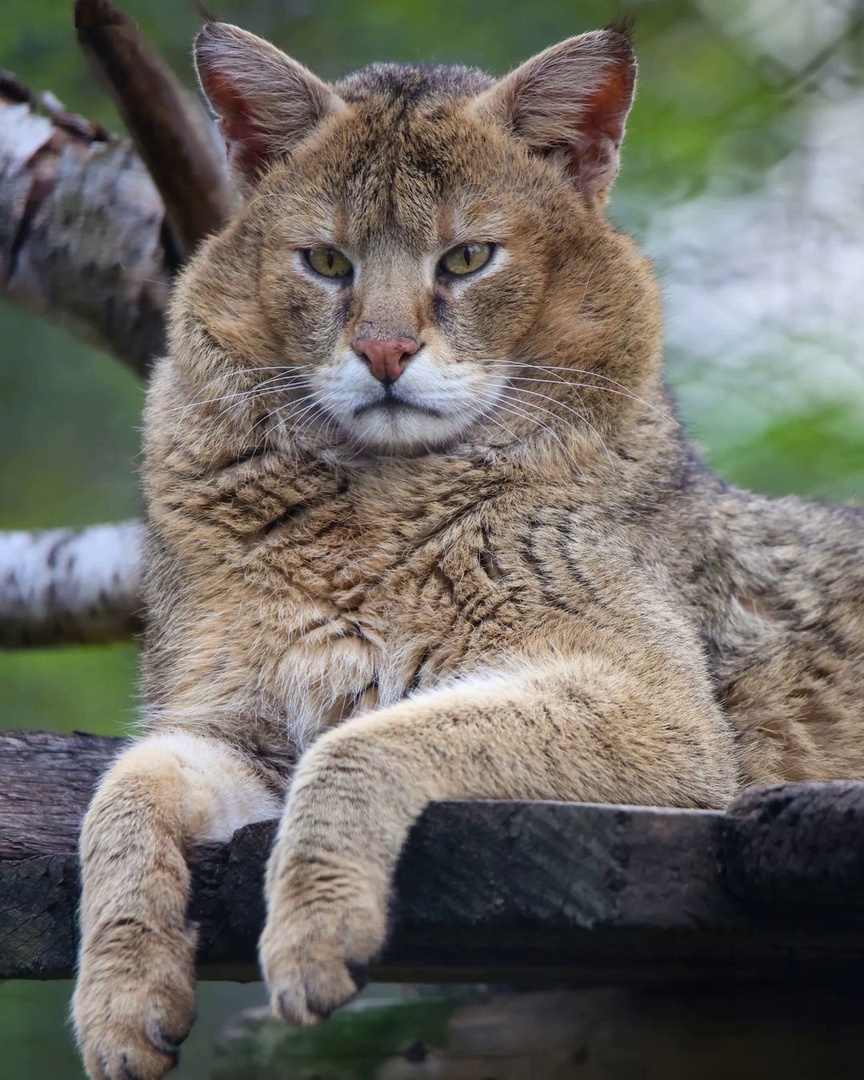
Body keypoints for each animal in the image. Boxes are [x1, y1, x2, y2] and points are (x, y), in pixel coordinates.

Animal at [74, 14, 864, 1080]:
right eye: (327, 263)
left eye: (466, 260)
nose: (383, 353)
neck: (371, 510)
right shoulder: (225, 722)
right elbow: (120, 794)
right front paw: (117, 1000)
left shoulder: (661, 713)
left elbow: (365, 740)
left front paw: (315, 929)